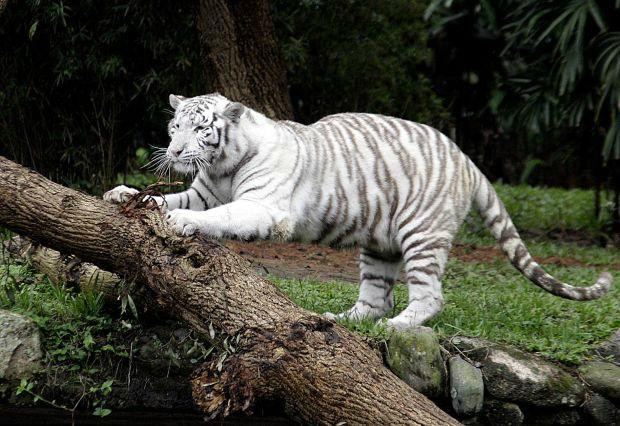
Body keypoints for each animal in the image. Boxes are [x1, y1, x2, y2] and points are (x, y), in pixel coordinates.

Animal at [104, 94, 612, 332]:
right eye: (174, 126)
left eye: (199, 129)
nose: (174, 150)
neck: (223, 163)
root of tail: (466, 158)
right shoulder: (204, 191)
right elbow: (171, 198)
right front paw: (124, 193)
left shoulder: (263, 206)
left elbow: (220, 217)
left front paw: (182, 224)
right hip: (378, 244)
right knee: (376, 296)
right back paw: (342, 320)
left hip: (422, 235)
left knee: (429, 297)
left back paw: (398, 325)